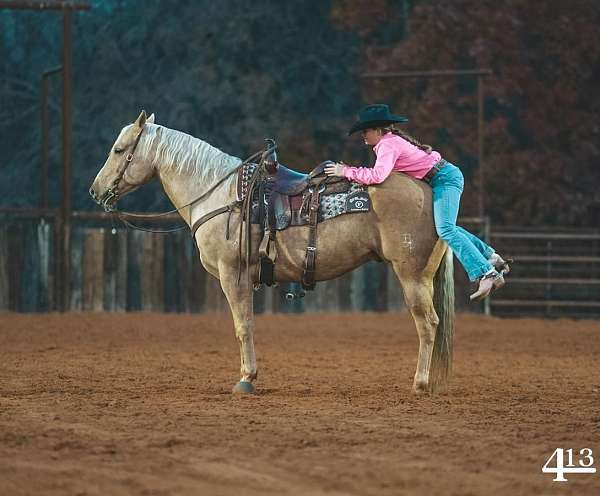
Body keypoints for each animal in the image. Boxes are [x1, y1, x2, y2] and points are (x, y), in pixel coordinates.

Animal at [90, 111, 454, 396]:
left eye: (119, 149)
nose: (96, 190)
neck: (219, 194)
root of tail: (431, 189)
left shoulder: (232, 274)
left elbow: (243, 325)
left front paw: (246, 379)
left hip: (410, 275)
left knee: (428, 324)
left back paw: (420, 384)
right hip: (424, 276)